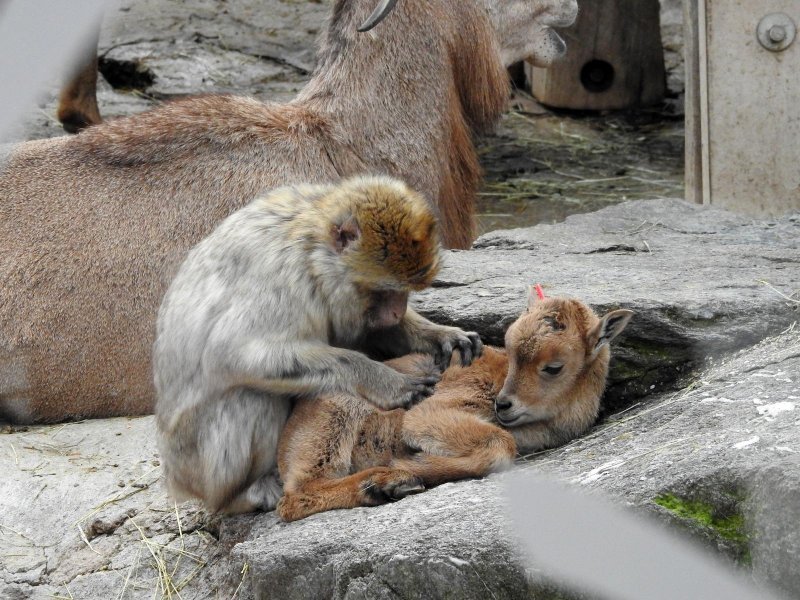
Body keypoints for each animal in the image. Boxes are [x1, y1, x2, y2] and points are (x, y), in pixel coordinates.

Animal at [154, 176, 484, 512]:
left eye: (406, 291)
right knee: (248, 396)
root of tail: (176, 480)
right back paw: (247, 494)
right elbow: (233, 355)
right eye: (386, 290)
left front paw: (441, 335)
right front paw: (387, 382)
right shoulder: (282, 276)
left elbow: (376, 331)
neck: (312, 250)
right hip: (201, 471)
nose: (397, 311)